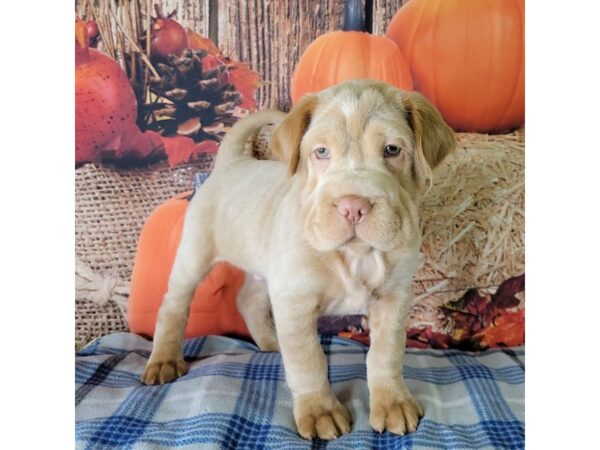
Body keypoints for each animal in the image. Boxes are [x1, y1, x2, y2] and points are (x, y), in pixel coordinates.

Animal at [142, 80, 454, 440]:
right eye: (321, 152)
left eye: (392, 149)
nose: (353, 207)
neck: (354, 254)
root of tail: (232, 163)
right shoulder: (295, 300)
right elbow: (308, 360)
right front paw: (320, 410)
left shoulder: (394, 297)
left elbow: (386, 354)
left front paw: (392, 402)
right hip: (194, 255)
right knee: (173, 306)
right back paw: (164, 360)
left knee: (247, 299)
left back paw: (270, 341)